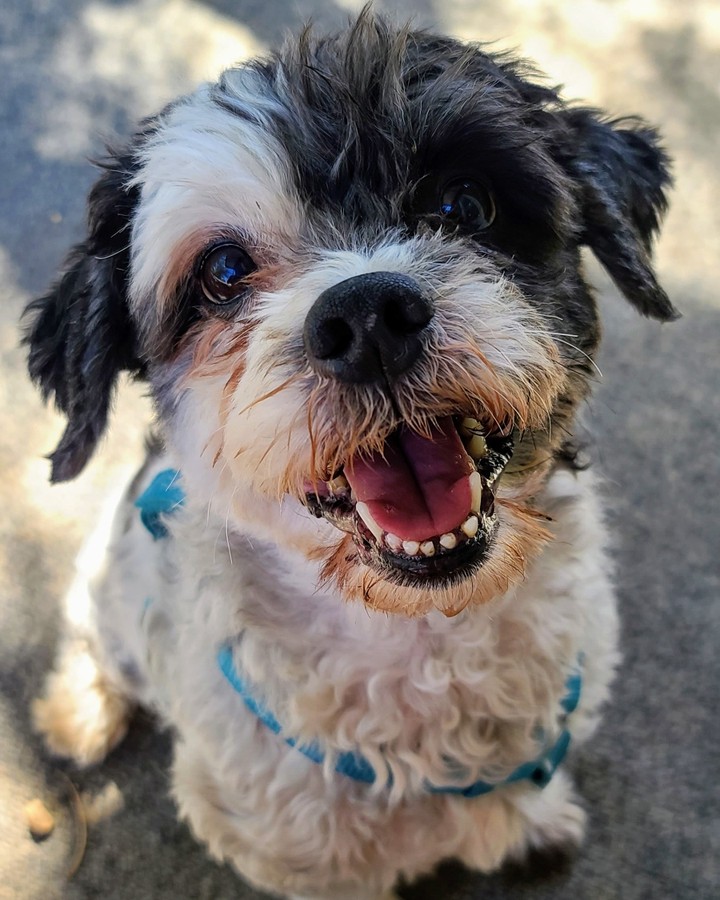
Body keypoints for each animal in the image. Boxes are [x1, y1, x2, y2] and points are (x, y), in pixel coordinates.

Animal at [22, 8, 676, 900]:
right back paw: (81, 710)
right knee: (93, 635)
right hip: (109, 594)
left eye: (464, 202)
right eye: (223, 271)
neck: (427, 635)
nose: (367, 317)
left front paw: (531, 825)